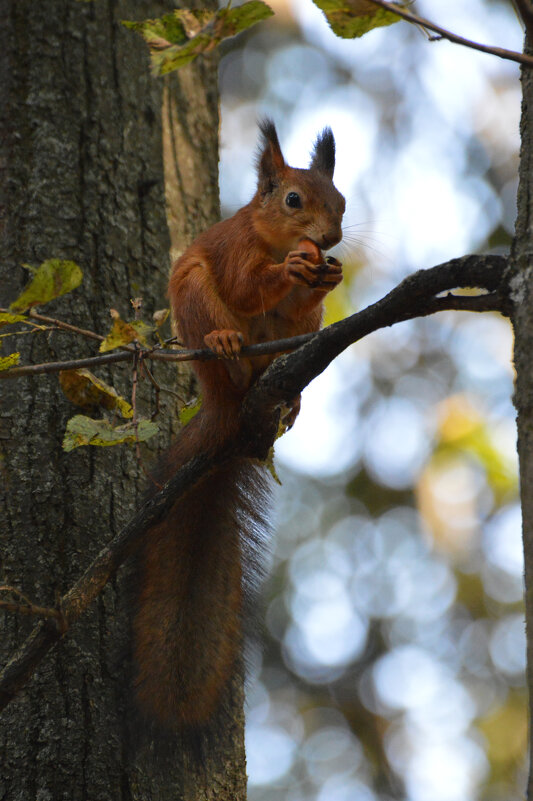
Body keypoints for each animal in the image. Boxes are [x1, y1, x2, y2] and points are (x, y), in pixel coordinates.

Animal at [132, 119, 344, 744]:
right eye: (293, 199)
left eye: (342, 202)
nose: (330, 240)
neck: (273, 240)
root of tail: (228, 410)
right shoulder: (235, 251)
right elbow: (248, 287)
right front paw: (289, 271)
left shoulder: (301, 308)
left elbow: (296, 307)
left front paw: (326, 275)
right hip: (195, 295)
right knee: (222, 327)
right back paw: (227, 348)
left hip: (301, 339)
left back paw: (290, 397)